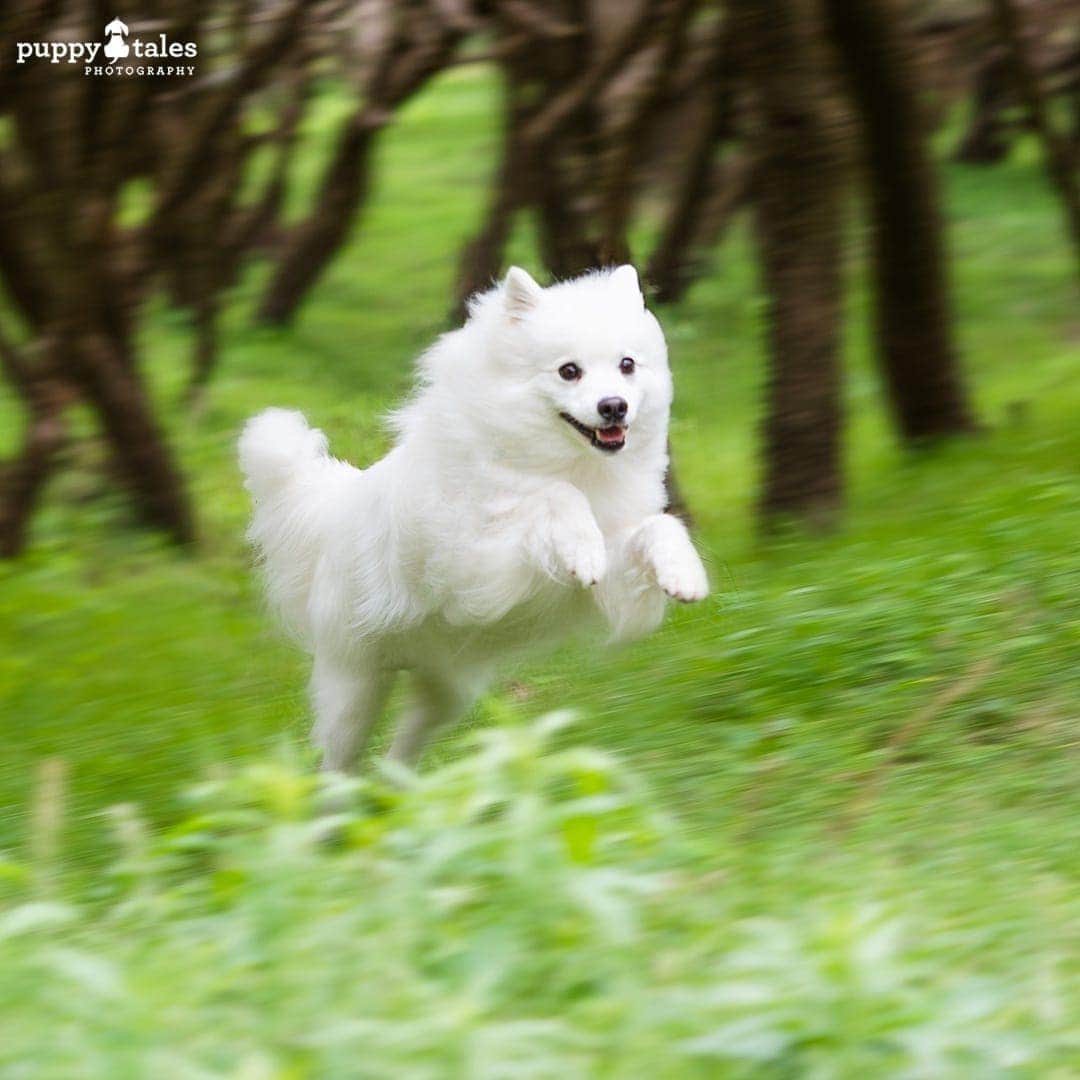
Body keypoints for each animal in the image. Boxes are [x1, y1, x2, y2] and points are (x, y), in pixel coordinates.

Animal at [238, 263, 708, 768]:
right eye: (569, 371)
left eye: (627, 365)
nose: (614, 406)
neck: (569, 462)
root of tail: (334, 511)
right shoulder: (477, 560)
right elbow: (555, 497)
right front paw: (581, 548)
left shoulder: (611, 577)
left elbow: (657, 527)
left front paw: (684, 573)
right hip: (355, 686)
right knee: (337, 763)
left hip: (447, 690)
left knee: (402, 749)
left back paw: (401, 783)